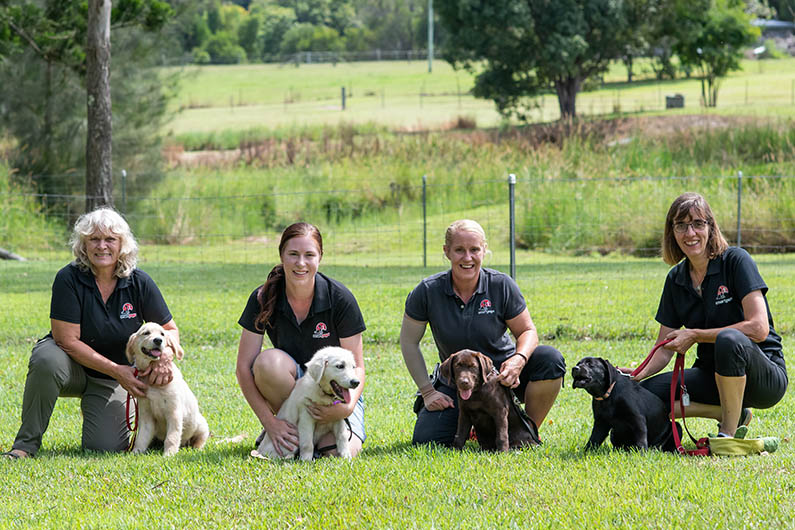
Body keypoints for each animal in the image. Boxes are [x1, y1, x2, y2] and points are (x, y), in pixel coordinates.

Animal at [125, 320, 210, 456]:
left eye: (162, 334)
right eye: (146, 333)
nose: (158, 340)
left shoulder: (174, 413)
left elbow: (172, 437)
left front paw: (169, 454)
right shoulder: (146, 415)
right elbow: (141, 437)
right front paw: (136, 452)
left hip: (201, 425)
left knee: (199, 441)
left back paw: (196, 448)